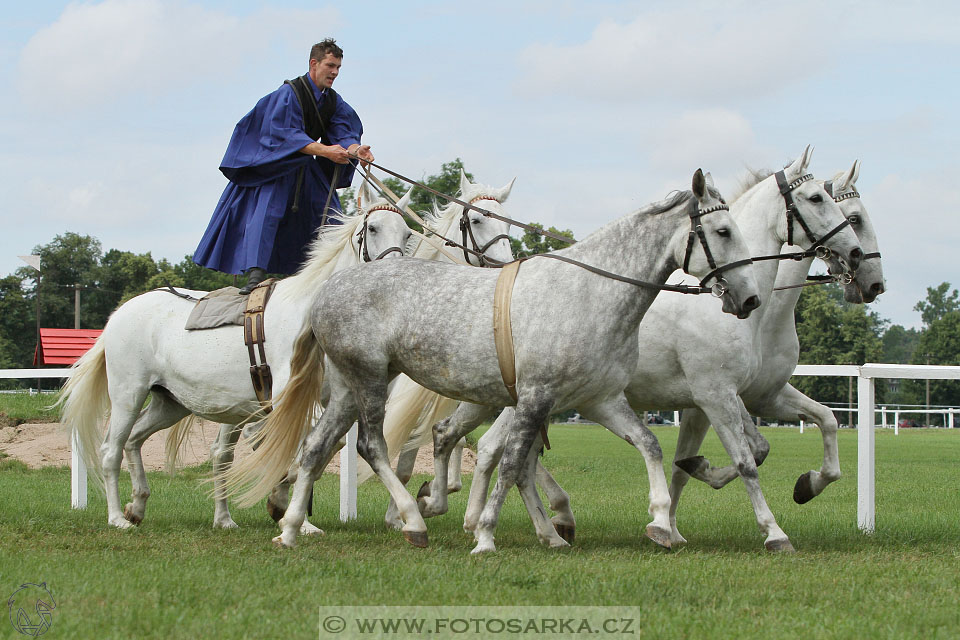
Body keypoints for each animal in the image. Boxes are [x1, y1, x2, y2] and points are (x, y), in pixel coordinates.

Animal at [59, 181, 412, 528]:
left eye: (407, 234)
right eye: (373, 228)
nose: (394, 277)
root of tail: (119, 314)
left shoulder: (334, 400)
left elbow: (322, 448)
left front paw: (290, 513)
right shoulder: (288, 401)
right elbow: (293, 451)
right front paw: (282, 507)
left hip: (169, 403)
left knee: (134, 440)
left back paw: (142, 505)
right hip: (128, 396)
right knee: (111, 450)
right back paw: (118, 517)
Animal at [225, 170, 764, 556]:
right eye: (722, 230)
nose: (751, 299)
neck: (591, 293)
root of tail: (329, 290)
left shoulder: (600, 401)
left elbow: (649, 445)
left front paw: (660, 523)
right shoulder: (535, 399)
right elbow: (508, 464)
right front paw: (485, 535)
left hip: (345, 390)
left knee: (315, 447)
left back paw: (292, 529)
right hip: (370, 383)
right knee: (372, 446)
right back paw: (413, 520)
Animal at [460, 145, 872, 552]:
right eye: (820, 200)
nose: (863, 268)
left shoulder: (753, 396)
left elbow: (819, 422)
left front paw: (804, 486)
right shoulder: (716, 395)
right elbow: (746, 459)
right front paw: (772, 531)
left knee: (512, 458)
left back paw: (539, 527)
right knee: (492, 450)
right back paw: (484, 520)